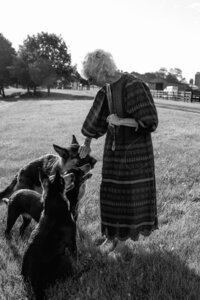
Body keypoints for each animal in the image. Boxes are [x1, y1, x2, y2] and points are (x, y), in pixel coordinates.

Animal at [21, 170, 76, 300]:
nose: (73, 174)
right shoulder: (72, 240)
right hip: (62, 258)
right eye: (62, 178)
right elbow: (76, 258)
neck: (54, 202)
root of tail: (34, 286)